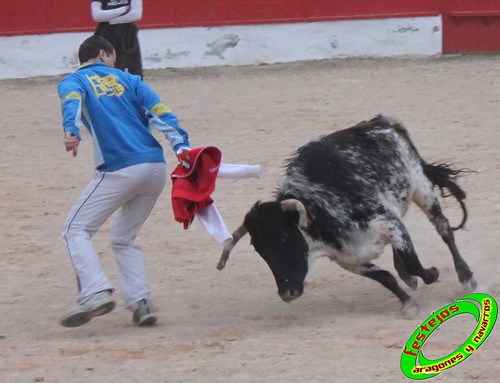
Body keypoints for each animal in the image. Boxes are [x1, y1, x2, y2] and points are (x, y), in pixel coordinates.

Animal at [218, 115, 476, 320]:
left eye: (283, 237)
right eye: (260, 250)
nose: (286, 294)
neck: (322, 216)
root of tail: (381, 121)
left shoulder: (390, 224)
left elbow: (413, 260)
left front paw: (431, 274)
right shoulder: (348, 259)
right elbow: (385, 277)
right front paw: (408, 304)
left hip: (420, 187)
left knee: (444, 229)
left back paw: (465, 277)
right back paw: (410, 278)